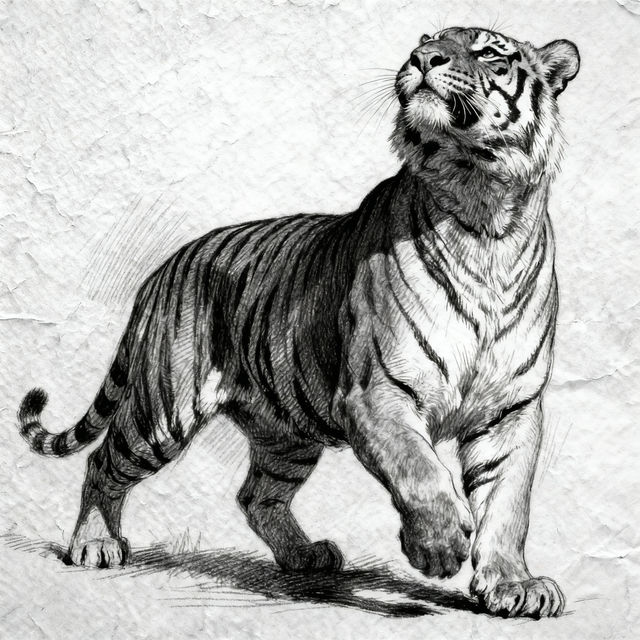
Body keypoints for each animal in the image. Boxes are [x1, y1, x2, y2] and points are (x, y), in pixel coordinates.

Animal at [17, 27, 579, 618]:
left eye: (490, 53)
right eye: (427, 40)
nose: (422, 57)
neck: (482, 211)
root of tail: (164, 270)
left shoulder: (511, 411)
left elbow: (508, 504)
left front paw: (514, 584)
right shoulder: (376, 395)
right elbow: (421, 472)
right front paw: (440, 546)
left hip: (286, 434)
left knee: (256, 496)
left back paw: (306, 556)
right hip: (163, 408)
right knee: (104, 460)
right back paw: (94, 545)